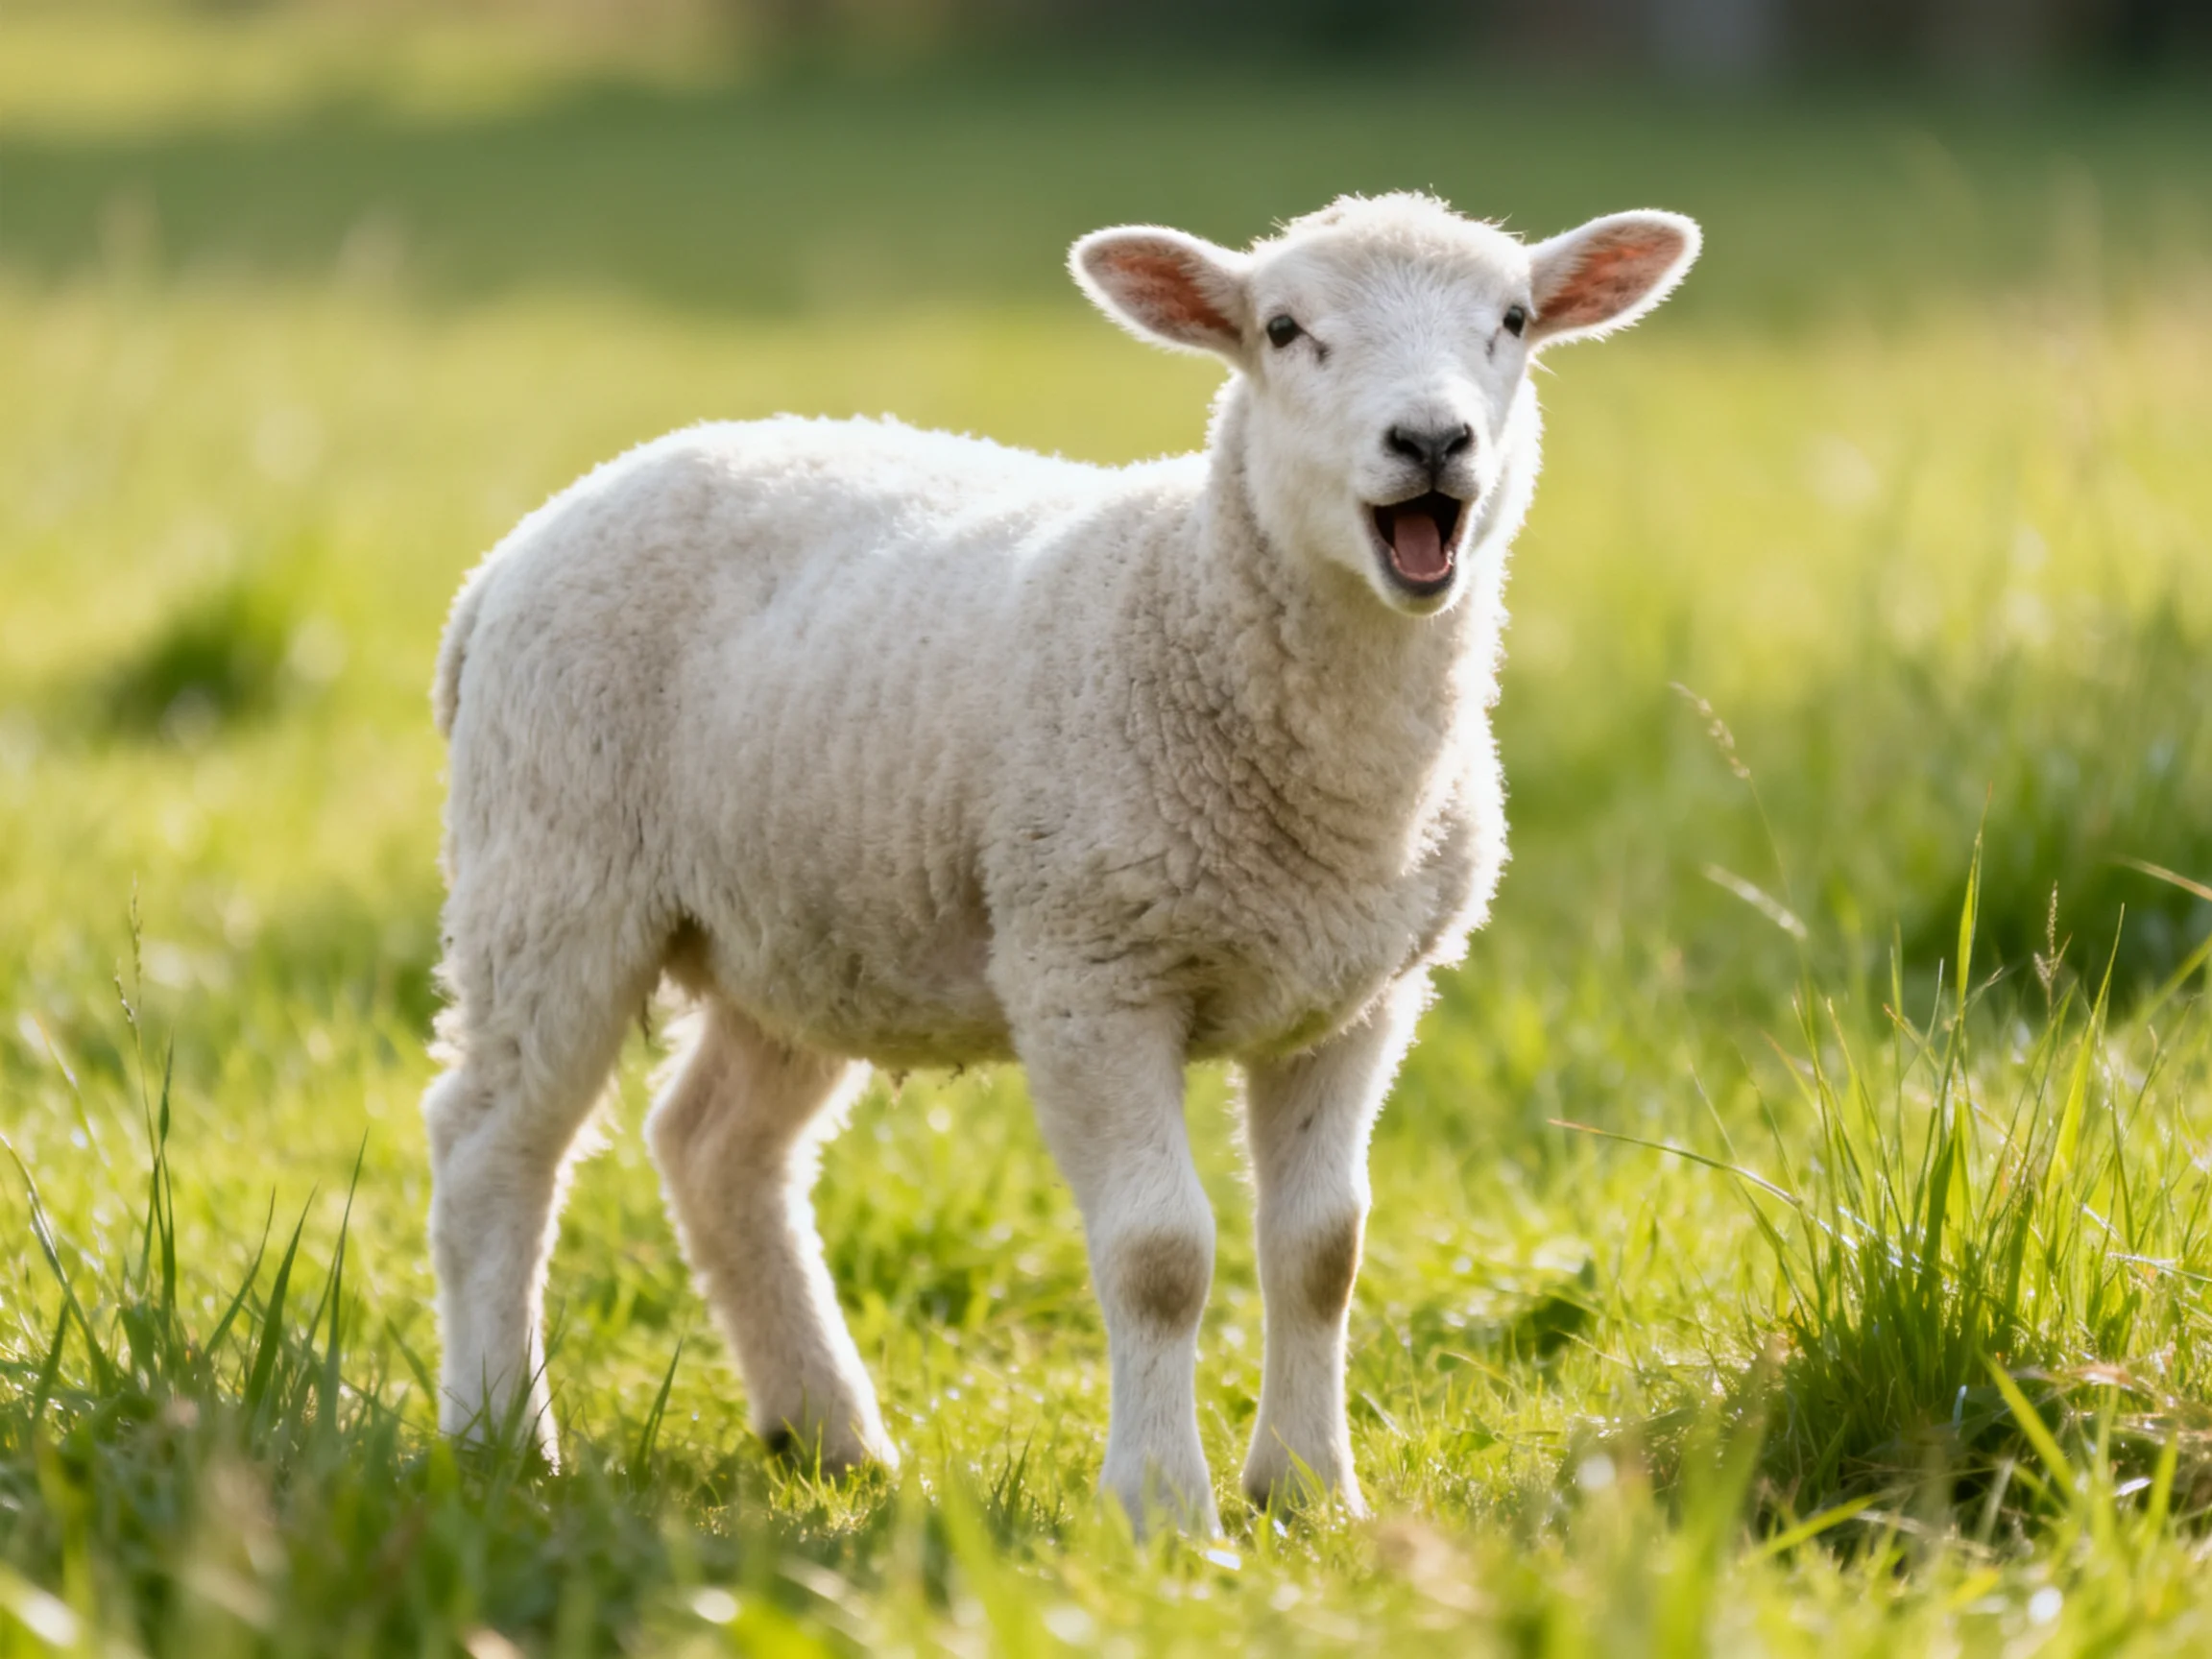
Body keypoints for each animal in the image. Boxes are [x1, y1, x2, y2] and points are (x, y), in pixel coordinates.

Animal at [422, 191, 1699, 1533]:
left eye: (1512, 320)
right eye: (1283, 329)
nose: (1433, 439)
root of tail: (507, 560)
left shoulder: (1361, 996)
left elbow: (1322, 1251)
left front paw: (1309, 1493)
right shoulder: (1089, 969)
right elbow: (1160, 1257)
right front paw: (1165, 1511)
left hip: (803, 923)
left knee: (716, 1148)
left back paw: (827, 1435)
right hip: (551, 868)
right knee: (491, 1149)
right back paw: (501, 1437)